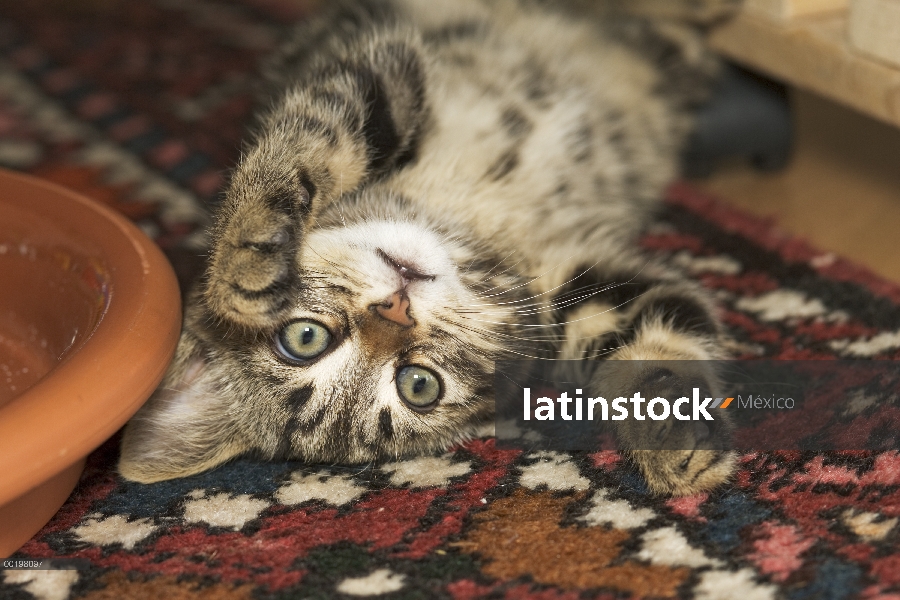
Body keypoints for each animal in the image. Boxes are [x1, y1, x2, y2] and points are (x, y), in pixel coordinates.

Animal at [119, 0, 740, 494]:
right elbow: (656, 332)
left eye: (301, 338)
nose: (396, 307)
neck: (456, 217)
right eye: (419, 385)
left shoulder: (376, 72)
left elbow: (308, 142)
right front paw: (672, 443)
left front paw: (239, 259)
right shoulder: (576, 283)